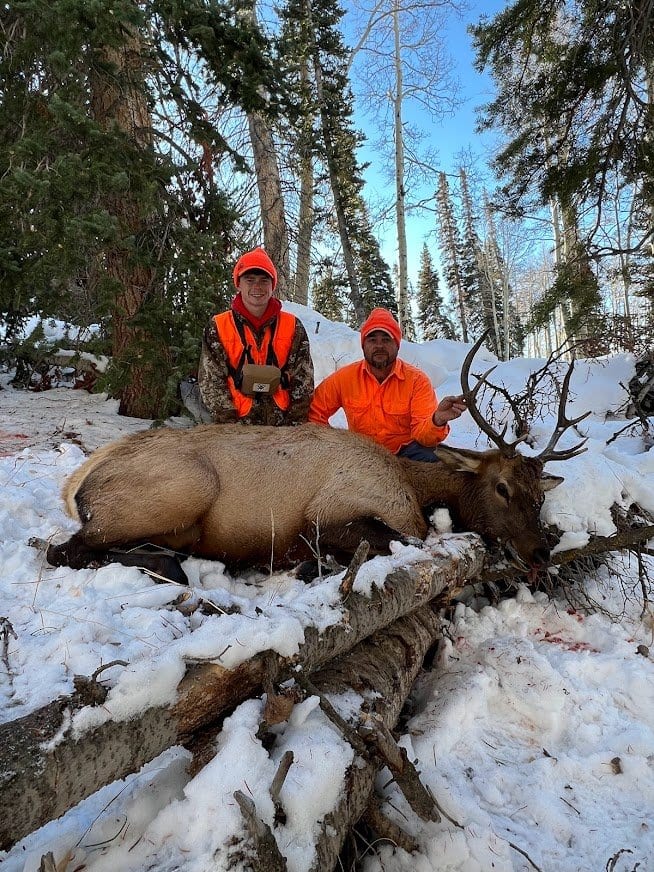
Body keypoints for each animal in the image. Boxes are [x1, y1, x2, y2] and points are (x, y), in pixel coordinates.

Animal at [45, 335, 589, 584]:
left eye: (540, 495)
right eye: (501, 486)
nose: (540, 552)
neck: (414, 487)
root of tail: (74, 487)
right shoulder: (326, 514)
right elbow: (393, 540)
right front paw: (309, 565)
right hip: (185, 488)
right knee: (65, 549)